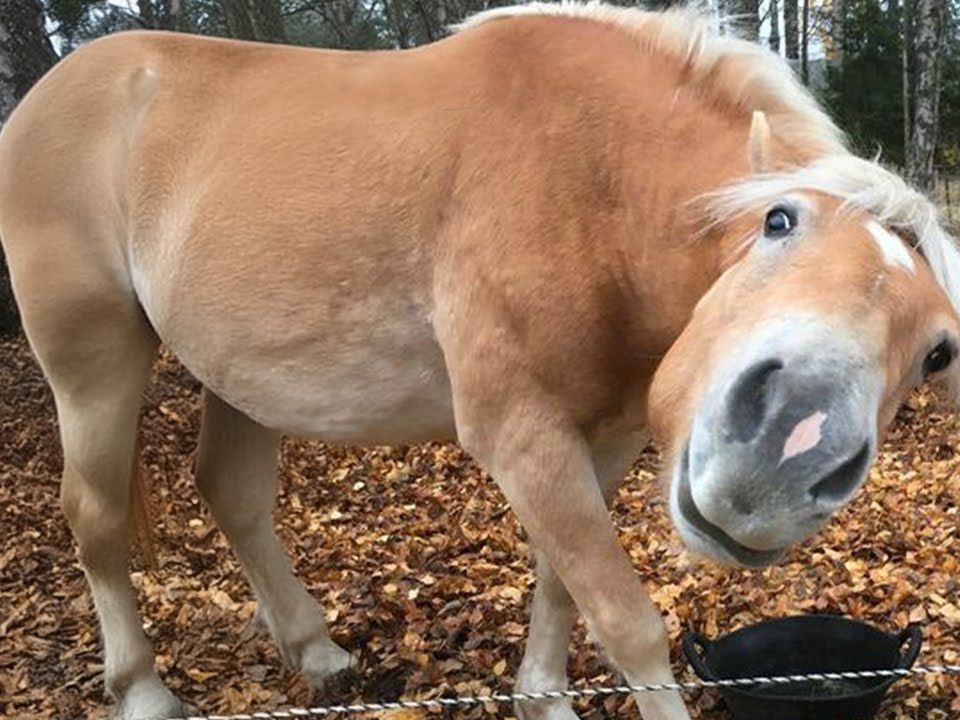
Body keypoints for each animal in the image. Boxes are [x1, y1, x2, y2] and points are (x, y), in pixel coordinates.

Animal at [1, 1, 960, 720]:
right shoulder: (519, 435)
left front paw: (542, 697)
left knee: (230, 492)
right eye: (778, 221)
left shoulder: (602, 438)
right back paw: (143, 690)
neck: (590, 174)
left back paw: (314, 649)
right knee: (93, 515)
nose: (784, 453)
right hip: (93, 365)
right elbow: (627, 623)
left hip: (239, 374)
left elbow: (562, 585)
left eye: (937, 350)